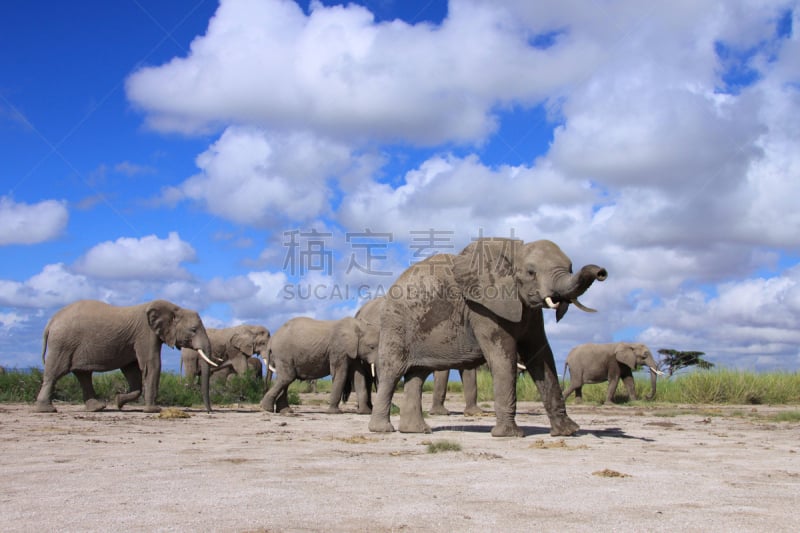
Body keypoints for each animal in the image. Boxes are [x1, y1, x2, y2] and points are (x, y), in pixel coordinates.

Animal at [34, 298, 216, 414]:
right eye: (193, 330)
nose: (210, 412)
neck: (174, 308)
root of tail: (51, 321)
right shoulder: (145, 334)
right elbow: (152, 365)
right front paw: (153, 410)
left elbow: (132, 370)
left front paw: (119, 402)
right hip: (62, 344)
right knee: (55, 373)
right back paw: (46, 410)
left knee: (83, 375)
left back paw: (97, 408)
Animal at [368, 237, 608, 436]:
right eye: (531, 272)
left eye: (570, 268)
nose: (602, 272)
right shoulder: (483, 309)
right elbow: (503, 358)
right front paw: (509, 435)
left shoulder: (528, 311)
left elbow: (541, 355)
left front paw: (568, 432)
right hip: (395, 324)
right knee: (392, 372)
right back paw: (382, 430)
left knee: (418, 374)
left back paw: (416, 431)